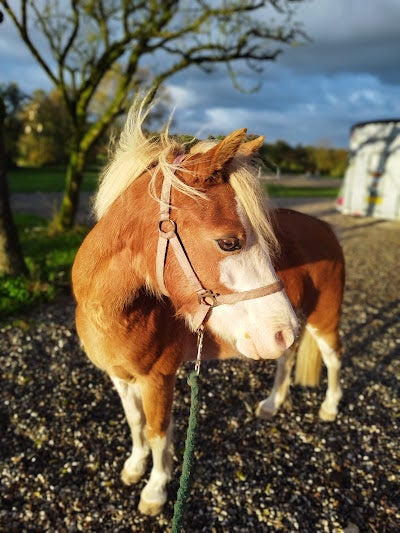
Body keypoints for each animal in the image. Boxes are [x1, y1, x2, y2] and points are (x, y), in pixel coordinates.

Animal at [72, 102, 344, 512]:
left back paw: (329, 407)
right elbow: (136, 424)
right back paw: (272, 403)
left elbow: (158, 431)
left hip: (322, 322)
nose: (279, 329)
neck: (115, 312)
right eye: (229, 242)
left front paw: (155, 489)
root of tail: (327, 229)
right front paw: (134, 466)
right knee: (287, 358)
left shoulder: (158, 378)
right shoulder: (120, 376)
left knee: (333, 359)